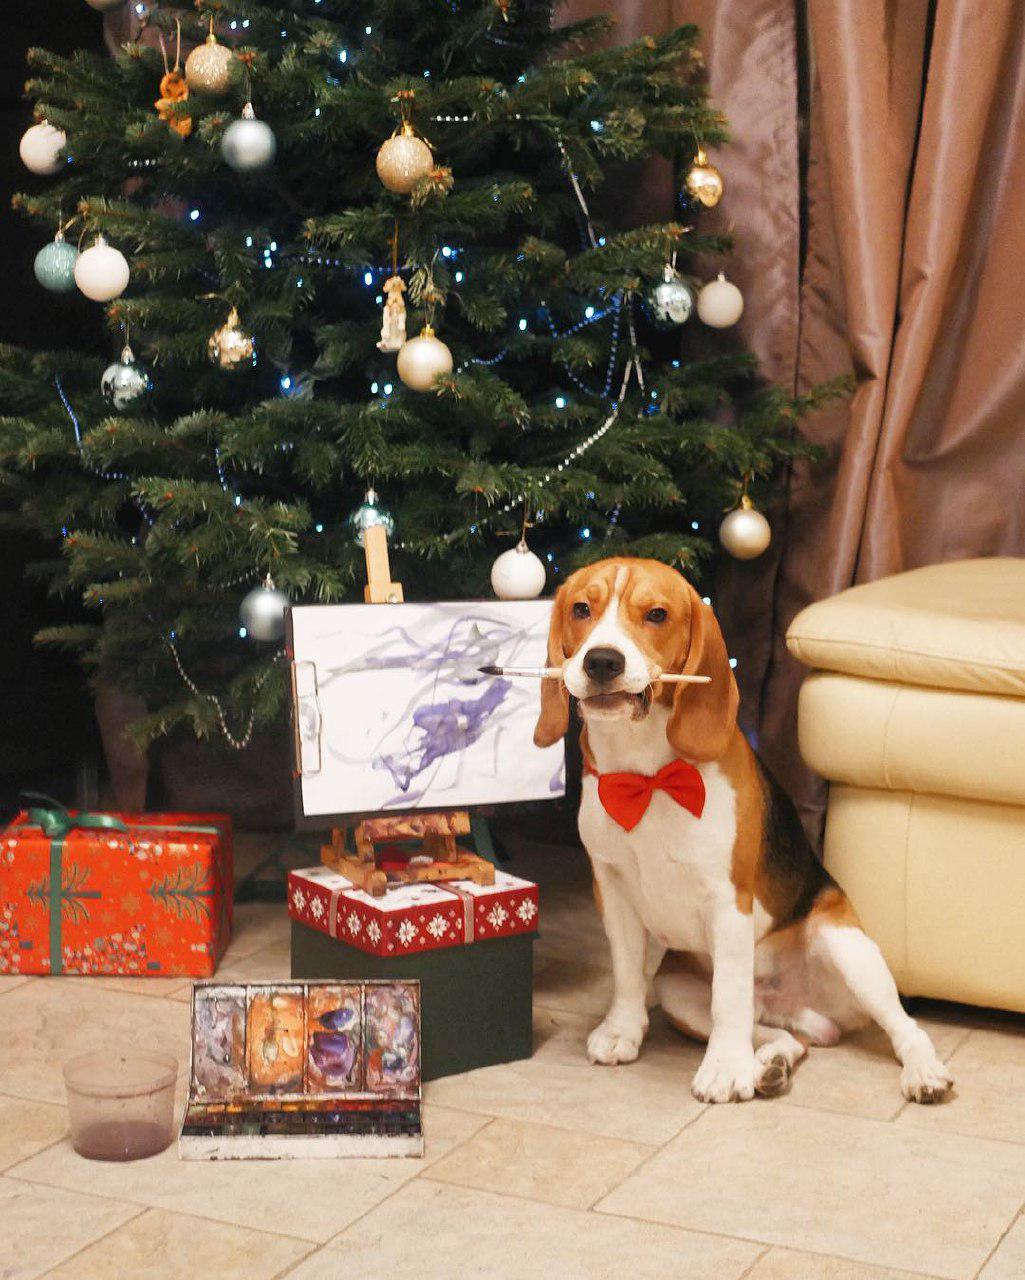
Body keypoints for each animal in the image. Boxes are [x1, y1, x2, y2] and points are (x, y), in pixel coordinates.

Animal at [532, 555, 957, 1105]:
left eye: (656, 614)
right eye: (582, 608)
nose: (602, 661)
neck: (647, 776)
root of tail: (798, 1004)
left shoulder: (728, 900)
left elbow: (729, 997)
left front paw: (724, 1071)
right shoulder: (613, 890)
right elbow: (626, 973)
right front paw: (622, 1031)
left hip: (848, 948)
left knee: (904, 1026)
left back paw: (921, 1072)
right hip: (676, 989)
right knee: (789, 1037)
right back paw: (771, 1064)